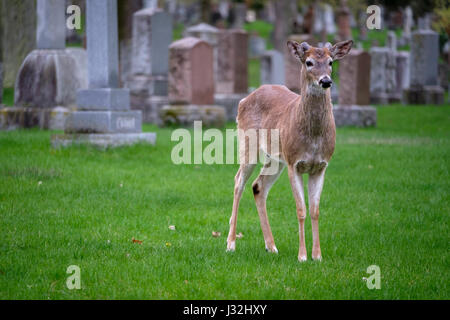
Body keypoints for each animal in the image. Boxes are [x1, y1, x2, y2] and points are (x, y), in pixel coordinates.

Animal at [227, 38, 354, 262]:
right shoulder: (294, 163)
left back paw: (271, 246)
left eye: (331, 62)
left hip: (275, 158)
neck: (313, 139)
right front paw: (302, 256)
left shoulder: (321, 166)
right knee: (238, 182)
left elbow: (315, 210)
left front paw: (317, 255)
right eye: (309, 62)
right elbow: (300, 209)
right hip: (248, 143)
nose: (326, 81)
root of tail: (243, 99)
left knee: (258, 186)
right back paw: (231, 243)